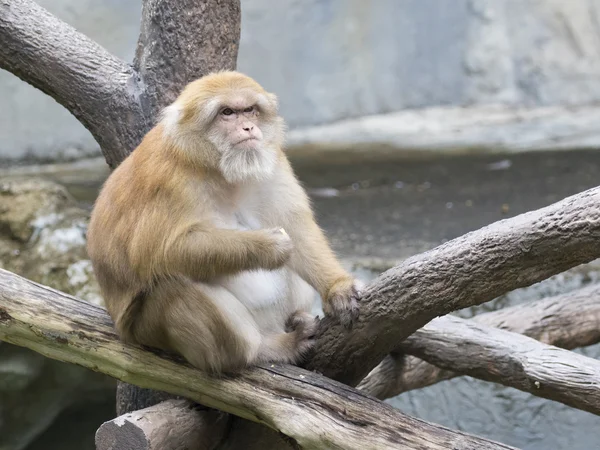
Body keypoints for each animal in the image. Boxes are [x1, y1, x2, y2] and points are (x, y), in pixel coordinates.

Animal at [86, 70, 358, 372]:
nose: (248, 128)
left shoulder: (272, 160)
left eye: (249, 110)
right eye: (227, 113)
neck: (216, 168)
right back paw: (265, 350)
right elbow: (157, 252)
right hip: (147, 331)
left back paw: (296, 319)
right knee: (172, 283)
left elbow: (296, 226)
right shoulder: (168, 180)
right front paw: (267, 245)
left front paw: (337, 288)